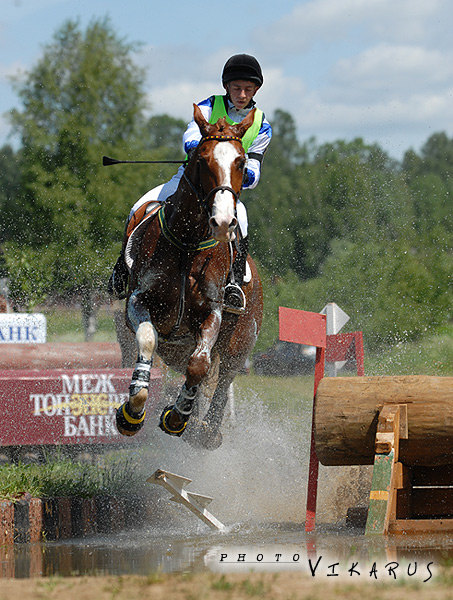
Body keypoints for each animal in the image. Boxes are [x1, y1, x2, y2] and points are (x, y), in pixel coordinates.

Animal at [116, 104, 264, 450]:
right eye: (202, 160)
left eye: (241, 162)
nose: (223, 221)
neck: (187, 243)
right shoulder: (137, 303)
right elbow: (147, 341)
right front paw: (132, 413)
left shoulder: (212, 312)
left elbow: (200, 365)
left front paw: (176, 417)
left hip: (241, 342)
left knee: (223, 379)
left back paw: (205, 430)